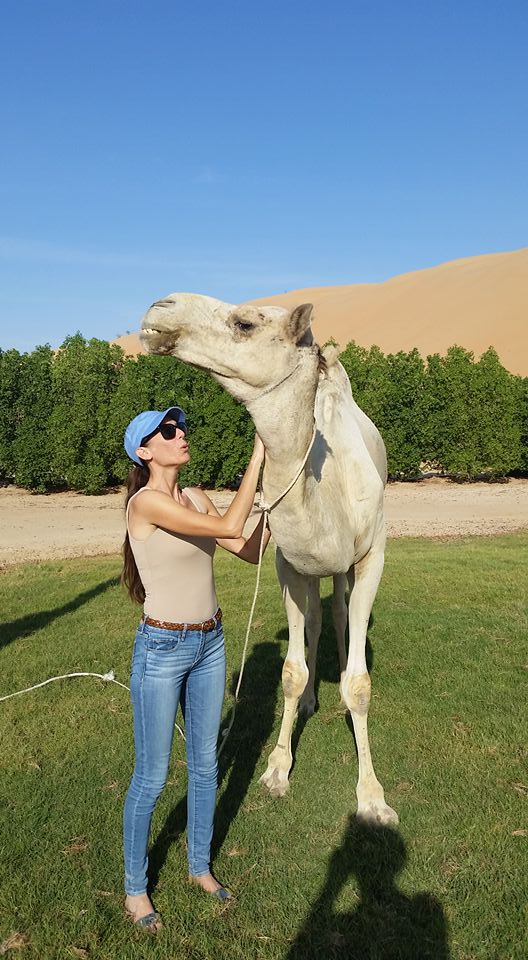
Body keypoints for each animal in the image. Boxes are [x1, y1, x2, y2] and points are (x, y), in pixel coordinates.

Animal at [139, 294, 396, 824]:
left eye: (245, 322)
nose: (160, 307)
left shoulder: (372, 555)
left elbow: (360, 684)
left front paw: (372, 797)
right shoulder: (288, 562)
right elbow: (292, 672)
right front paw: (278, 769)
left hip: (347, 567)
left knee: (340, 615)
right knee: (318, 619)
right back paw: (315, 700)